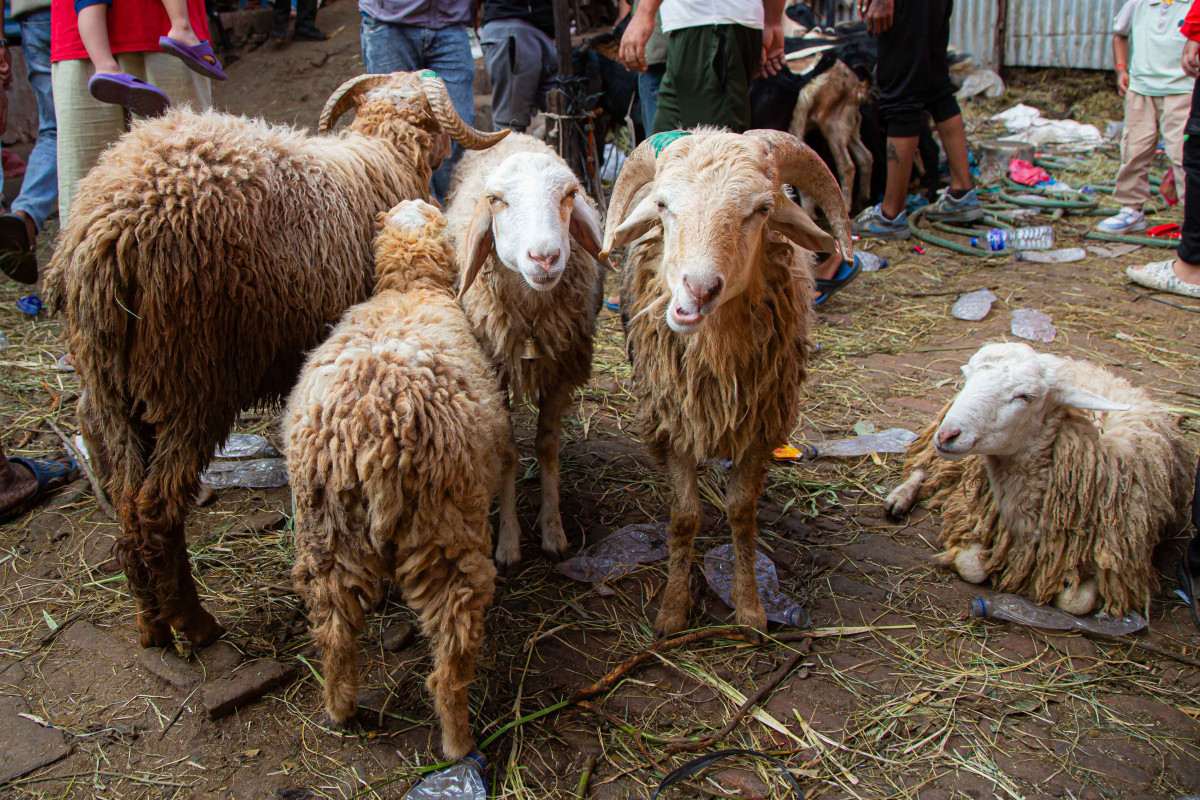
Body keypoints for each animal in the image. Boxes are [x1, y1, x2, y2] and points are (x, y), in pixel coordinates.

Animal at [43, 70, 506, 652]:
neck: (384, 153)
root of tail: (105, 233)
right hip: (191, 380)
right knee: (156, 509)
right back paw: (194, 624)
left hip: (111, 386)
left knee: (128, 504)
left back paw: (151, 625)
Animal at [286, 199, 511, 758]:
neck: (410, 287)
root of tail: (374, 432)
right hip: (444, 531)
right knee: (450, 653)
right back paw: (458, 740)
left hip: (327, 530)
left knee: (333, 630)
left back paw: (340, 709)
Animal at [444, 133, 604, 568]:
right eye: (496, 199)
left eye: (570, 194)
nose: (545, 258)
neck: (532, 317)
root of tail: (514, 133)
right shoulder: (494, 371)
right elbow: (507, 452)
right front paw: (508, 542)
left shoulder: (562, 370)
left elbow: (547, 446)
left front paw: (553, 531)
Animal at [600, 126, 854, 638]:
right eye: (662, 204)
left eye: (762, 209)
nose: (698, 290)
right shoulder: (672, 422)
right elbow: (684, 517)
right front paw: (673, 610)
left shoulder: (761, 425)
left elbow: (741, 513)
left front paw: (751, 608)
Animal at [888, 340, 1195, 618]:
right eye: (967, 376)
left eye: (1026, 396)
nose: (948, 435)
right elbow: (971, 565)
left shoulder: (1117, 566)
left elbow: (1074, 601)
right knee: (924, 465)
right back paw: (899, 497)